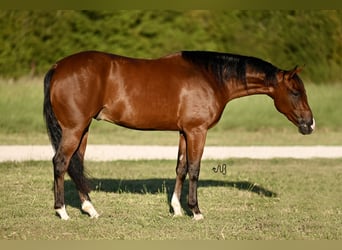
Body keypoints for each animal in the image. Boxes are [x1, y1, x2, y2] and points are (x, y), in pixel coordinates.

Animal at [43, 49, 316, 220]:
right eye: (295, 92)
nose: (310, 125)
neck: (211, 77)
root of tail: (58, 66)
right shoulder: (197, 131)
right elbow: (194, 169)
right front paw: (195, 211)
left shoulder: (185, 132)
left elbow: (181, 167)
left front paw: (176, 208)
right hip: (74, 129)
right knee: (61, 162)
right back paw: (62, 212)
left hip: (83, 130)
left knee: (76, 164)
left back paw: (90, 209)